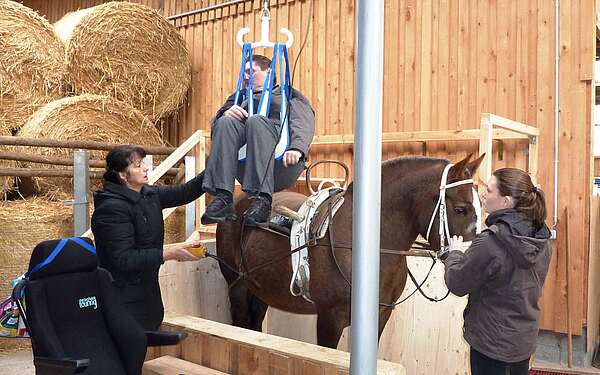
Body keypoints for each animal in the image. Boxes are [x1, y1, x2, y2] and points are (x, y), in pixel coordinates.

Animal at [214, 153, 482, 350]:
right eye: (461, 209)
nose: (472, 261)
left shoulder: (380, 316)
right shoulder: (330, 319)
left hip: (260, 289)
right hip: (237, 286)